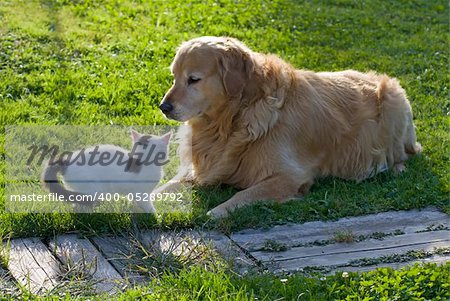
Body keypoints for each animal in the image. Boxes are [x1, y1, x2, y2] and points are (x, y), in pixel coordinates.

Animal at [41, 128, 171, 211]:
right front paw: (155, 216)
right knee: (81, 204)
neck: (143, 160)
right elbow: (148, 206)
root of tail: (67, 161)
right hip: (94, 188)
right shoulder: (142, 194)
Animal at [157, 36, 418, 217]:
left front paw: (216, 211)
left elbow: (243, 194)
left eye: (193, 79)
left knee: (404, 154)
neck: (235, 117)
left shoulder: (289, 176)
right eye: (174, 76)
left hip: (393, 102)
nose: (163, 107)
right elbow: (168, 185)